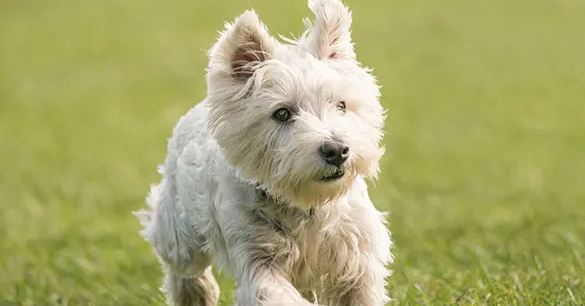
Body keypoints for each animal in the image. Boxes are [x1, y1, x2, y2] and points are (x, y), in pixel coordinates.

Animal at [135, 1, 392, 304]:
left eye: (341, 105)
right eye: (282, 113)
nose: (337, 150)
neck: (306, 205)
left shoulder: (357, 256)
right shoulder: (256, 257)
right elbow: (276, 294)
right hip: (179, 230)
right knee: (182, 266)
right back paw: (198, 293)